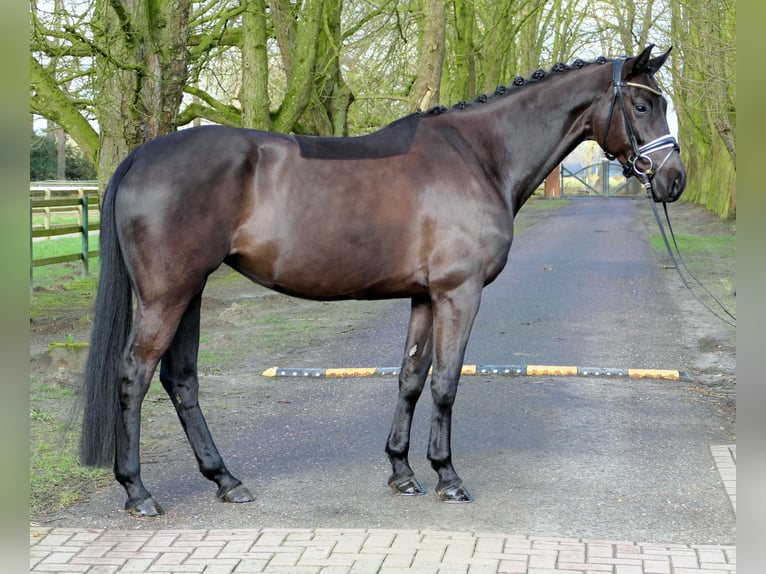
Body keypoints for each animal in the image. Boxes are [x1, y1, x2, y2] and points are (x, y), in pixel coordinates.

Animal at [81, 42, 688, 516]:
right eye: (641, 103)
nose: (674, 180)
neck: (478, 156)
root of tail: (140, 157)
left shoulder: (424, 297)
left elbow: (411, 378)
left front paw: (402, 471)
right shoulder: (458, 294)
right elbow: (446, 383)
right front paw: (448, 477)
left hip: (192, 291)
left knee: (181, 380)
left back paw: (227, 481)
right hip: (168, 294)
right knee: (135, 376)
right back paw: (138, 492)